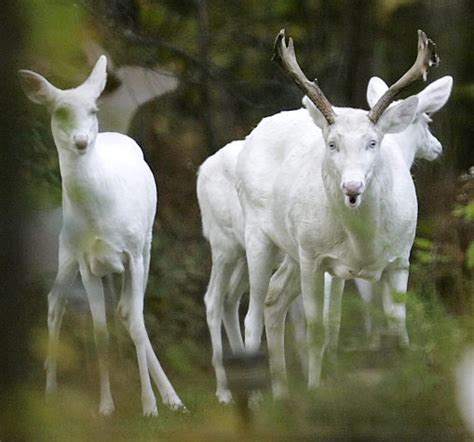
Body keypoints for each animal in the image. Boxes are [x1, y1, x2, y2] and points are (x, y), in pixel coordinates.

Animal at [17, 57, 183, 416]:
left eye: (93, 109)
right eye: (59, 111)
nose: (81, 141)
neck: (101, 214)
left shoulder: (133, 253)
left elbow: (136, 324)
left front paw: (150, 406)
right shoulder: (85, 261)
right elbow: (100, 333)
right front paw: (106, 406)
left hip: (146, 245)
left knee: (130, 313)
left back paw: (172, 398)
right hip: (64, 251)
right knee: (56, 301)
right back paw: (50, 390)